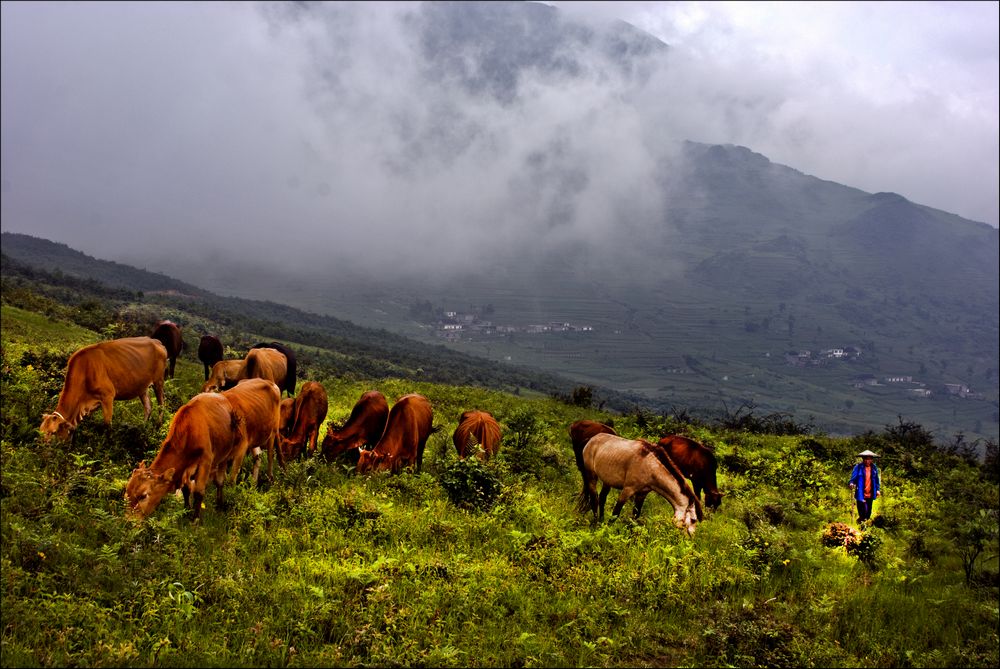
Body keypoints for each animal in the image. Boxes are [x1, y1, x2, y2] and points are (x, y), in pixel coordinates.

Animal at [37, 336, 168, 440]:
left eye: (53, 432)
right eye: (41, 431)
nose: (41, 450)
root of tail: (156, 341)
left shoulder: (108, 396)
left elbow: (107, 425)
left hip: (159, 381)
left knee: (161, 404)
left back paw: (158, 426)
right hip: (142, 387)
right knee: (148, 407)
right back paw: (142, 428)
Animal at [124, 392, 247, 520]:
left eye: (143, 496)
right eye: (127, 492)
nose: (129, 521)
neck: (189, 430)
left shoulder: (206, 461)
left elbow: (199, 492)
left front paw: (195, 519)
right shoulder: (184, 469)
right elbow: (186, 490)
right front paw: (186, 511)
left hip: (226, 455)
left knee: (219, 481)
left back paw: (219, 505)